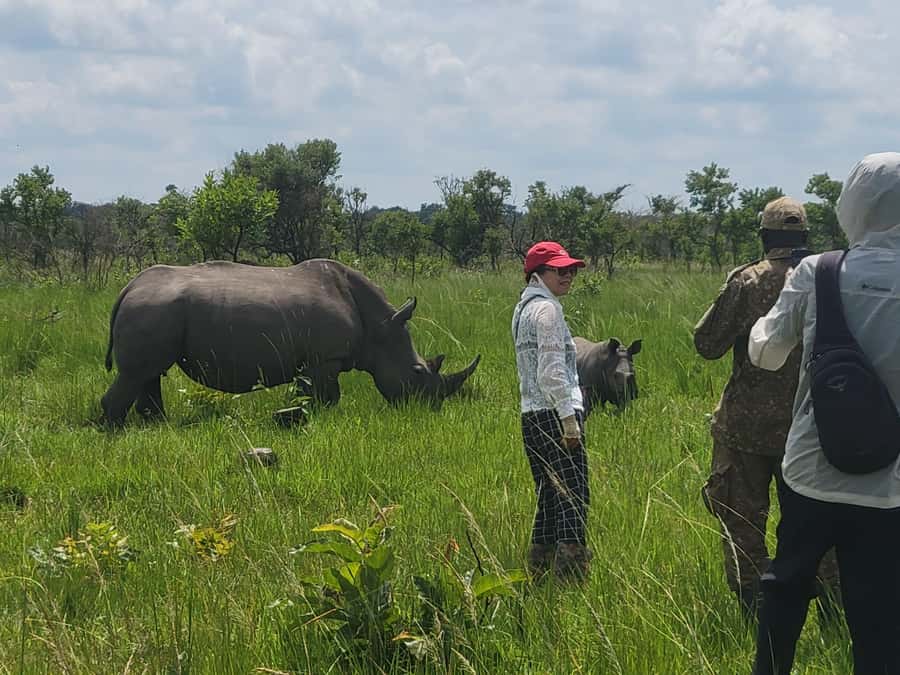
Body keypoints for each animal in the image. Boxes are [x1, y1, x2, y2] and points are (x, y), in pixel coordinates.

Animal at [101, 259, 480, 425]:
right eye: (417, 372)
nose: (431, 408)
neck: (381, 326)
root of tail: (128, 288)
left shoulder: (311, 361)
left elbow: (309, 395)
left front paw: (291, 415)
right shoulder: (324, 359)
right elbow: (327, 397)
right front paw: (306, 418)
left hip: (155, 310)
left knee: (149, 374)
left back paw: (155, 425)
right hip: (153, 309)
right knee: (136, 374)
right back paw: (115, 430)